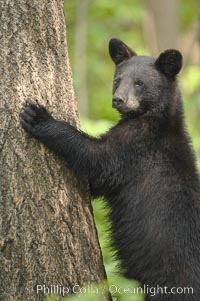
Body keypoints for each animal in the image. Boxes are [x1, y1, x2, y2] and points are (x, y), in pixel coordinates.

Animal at [19, 38, 200, 298]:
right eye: (118, 79)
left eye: (139, 83)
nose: (118, 100)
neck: (157, 119)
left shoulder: (134, 148)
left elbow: (96, 160)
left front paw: (39, 117)